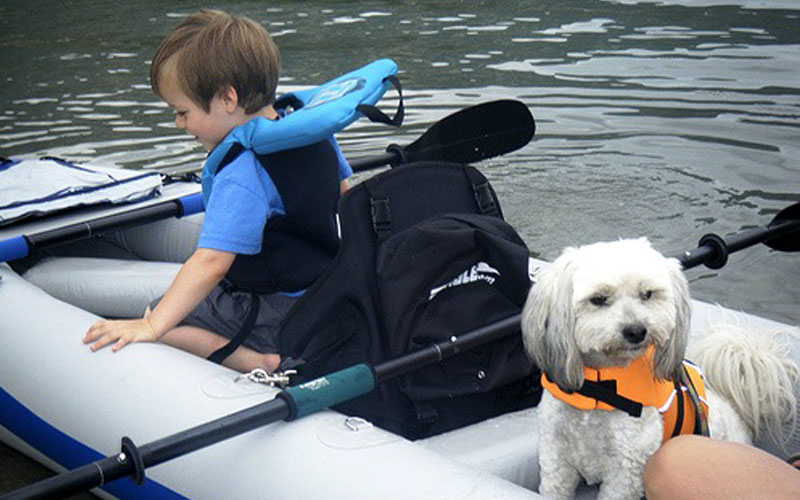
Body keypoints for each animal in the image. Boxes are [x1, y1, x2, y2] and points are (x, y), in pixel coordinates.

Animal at [520, 238, 796, 500]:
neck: (600, 384)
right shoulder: (556, 457)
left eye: (647, 294)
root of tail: (737, 409)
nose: (636, 331)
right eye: (598, 299)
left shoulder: (627, 468)